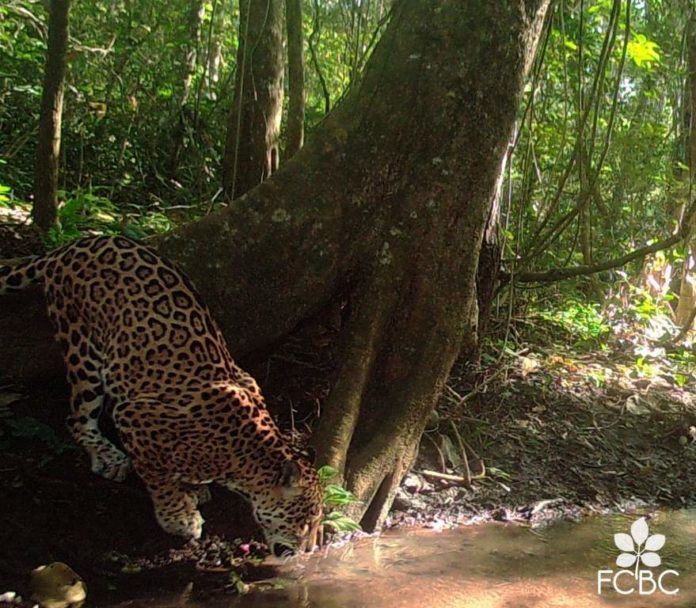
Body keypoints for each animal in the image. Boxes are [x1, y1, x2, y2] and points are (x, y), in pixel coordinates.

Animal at [0, 235, 323, 555]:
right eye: (305, 522)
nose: (309, 550)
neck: (244, 456)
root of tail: (71, 247)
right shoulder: (132, 416)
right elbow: (156, 477)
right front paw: (178, 516)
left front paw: (192, 488)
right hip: (82, 349)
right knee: (77, 419)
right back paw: (109, 456)